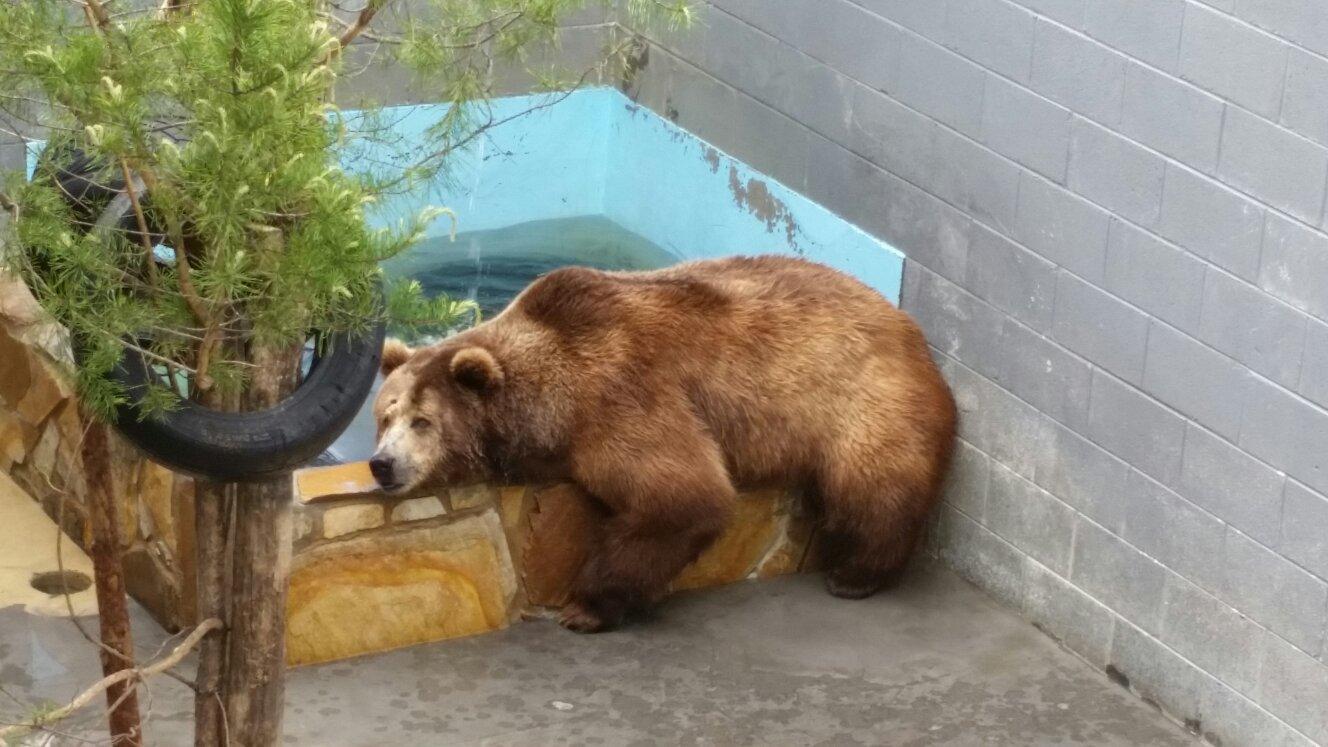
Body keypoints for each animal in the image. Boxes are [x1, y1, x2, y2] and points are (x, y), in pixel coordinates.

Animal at [369, 255, 957, 633]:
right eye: (385, 415)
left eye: (423, 421)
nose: (381, 464)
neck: (546, 407)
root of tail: (911, 331)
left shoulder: (618, 397)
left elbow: (682, 495)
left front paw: (585, 607)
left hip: (862, 400)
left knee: (872, 486)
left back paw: (856, 573)